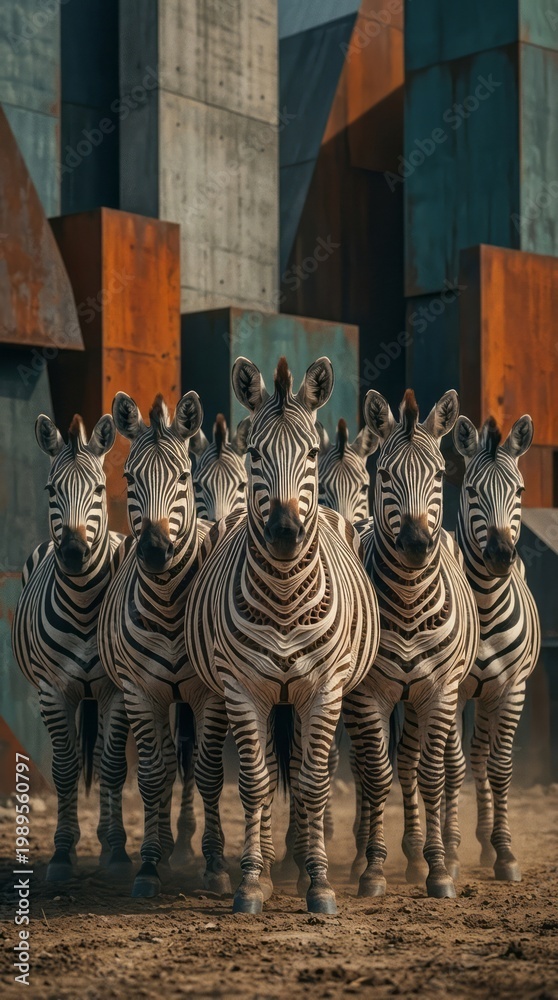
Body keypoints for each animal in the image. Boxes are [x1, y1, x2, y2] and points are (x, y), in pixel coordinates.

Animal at [12, 414, 131, 881]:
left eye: (99, 489)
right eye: (50, 490)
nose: (76, 552)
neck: (82, 606)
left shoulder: (115, 689)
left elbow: (112, 766)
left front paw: (116, 850)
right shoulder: (52, 689)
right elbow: (64, 770)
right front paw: (63, 852)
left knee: (102, 756)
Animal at [98, 391, 231, 898]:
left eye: (182, 478)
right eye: (129, 478)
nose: (155, 551)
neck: (170, 605)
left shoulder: (211, 693)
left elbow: (210, 773)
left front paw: (215, 865)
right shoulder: (140, 692)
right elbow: (154, 776)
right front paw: (149, 864)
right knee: (171, 761)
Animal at [184, 356, 380, 914]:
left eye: (310, 453)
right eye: (254, 454)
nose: (286, 532)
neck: (286, 596)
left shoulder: (324, 687)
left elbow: (313, 784)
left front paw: (318, 881)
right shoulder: (242, 688)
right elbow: (255, 782)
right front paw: (252, 879)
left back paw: (296, 860)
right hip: (263, 696)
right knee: (272, 767)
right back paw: (274, 864)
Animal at [343, 388, 479, 899]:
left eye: (439, 474)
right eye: (384, 475)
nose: (418, 543)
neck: (406, 601)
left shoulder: (437, 692)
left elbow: (429, 775)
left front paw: (437, 869)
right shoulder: (367, 696)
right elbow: (377, 776)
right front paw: (374, 869)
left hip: (421, 697)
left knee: (412, 764)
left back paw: (421, 854)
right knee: (368, 768)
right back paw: (366, 855)